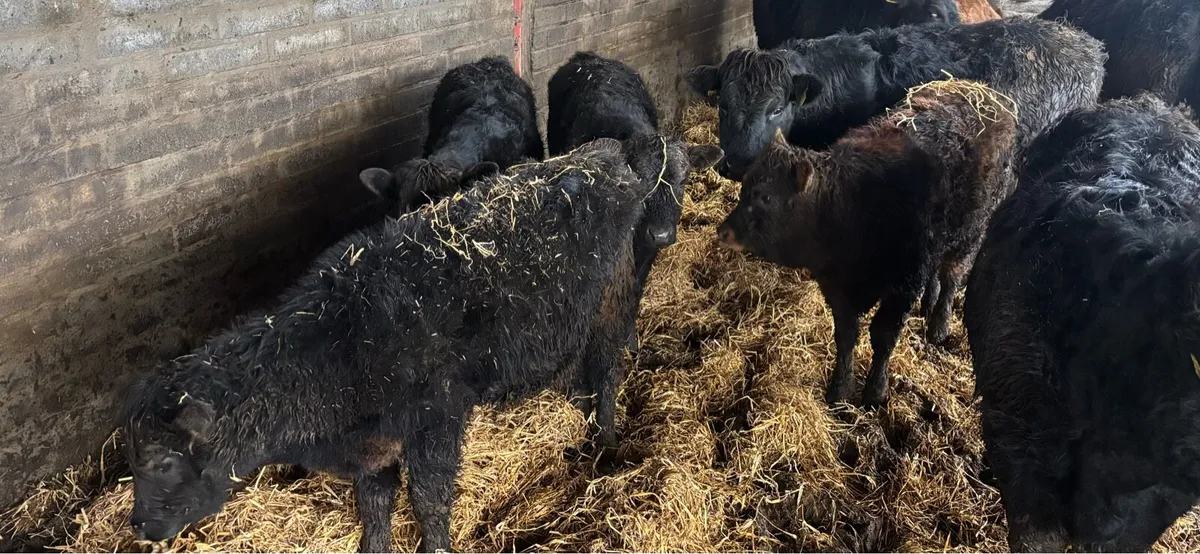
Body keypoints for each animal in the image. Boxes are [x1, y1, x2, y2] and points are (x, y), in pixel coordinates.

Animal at [121, 136, 695, 553]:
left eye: (163, 464)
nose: (141, 526)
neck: (340, 347)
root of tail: (602, 156)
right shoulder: (375, 451)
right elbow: (374, 512)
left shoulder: (436, 423)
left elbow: (429, 502)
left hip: (614, 305)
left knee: (607, 373)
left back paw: (607, 442)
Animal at [547, 51, 724, 353]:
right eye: (639, 181)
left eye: (684, 179)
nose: (661, 234)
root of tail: (588, 58)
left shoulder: (647, 251)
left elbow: (635, 289)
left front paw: (629, 339)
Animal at [717, 80, 1018, 408]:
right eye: (745, 187)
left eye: (766, 197)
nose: (723, 231)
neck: (851, 204)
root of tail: (981, 92)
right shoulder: (836, 287)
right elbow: (846, 336)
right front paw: (839, 388)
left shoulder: (904, 285)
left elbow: (883, 336)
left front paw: (876, 389)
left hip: (970, 233)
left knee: (951, 276)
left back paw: (939, 324)